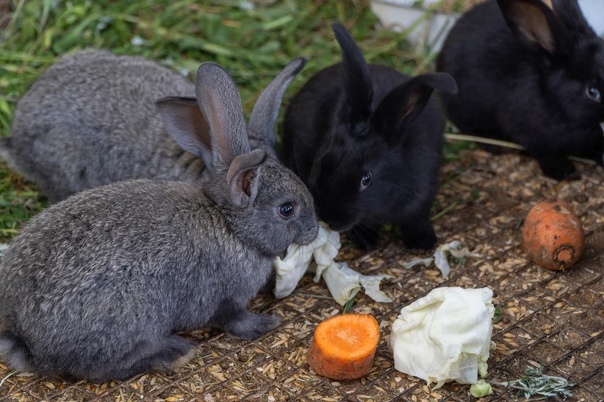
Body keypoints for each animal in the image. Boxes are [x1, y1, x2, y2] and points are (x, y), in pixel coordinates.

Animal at [280, 23, 456, 250]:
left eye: (367, 180)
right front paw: (366, 240)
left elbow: (417, 219)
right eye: (320, 162)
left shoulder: (423, 196)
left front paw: (423, 241)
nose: (328, 217)